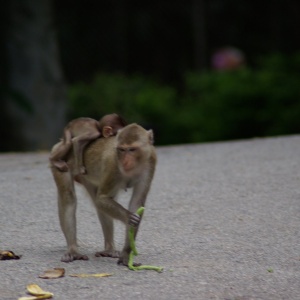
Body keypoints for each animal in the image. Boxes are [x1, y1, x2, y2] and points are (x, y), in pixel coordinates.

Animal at [50, 122, 156, 264]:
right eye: (122, 150)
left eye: (132, 149)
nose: (125, 161)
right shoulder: (113, 164)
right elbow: (102, 199)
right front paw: (128, 217)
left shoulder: (151, 161)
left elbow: (136, 202)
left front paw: (126, 253)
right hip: (63, 163)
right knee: (69, 198)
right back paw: (73, 250)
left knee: (100, 204)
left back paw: (109, 249)